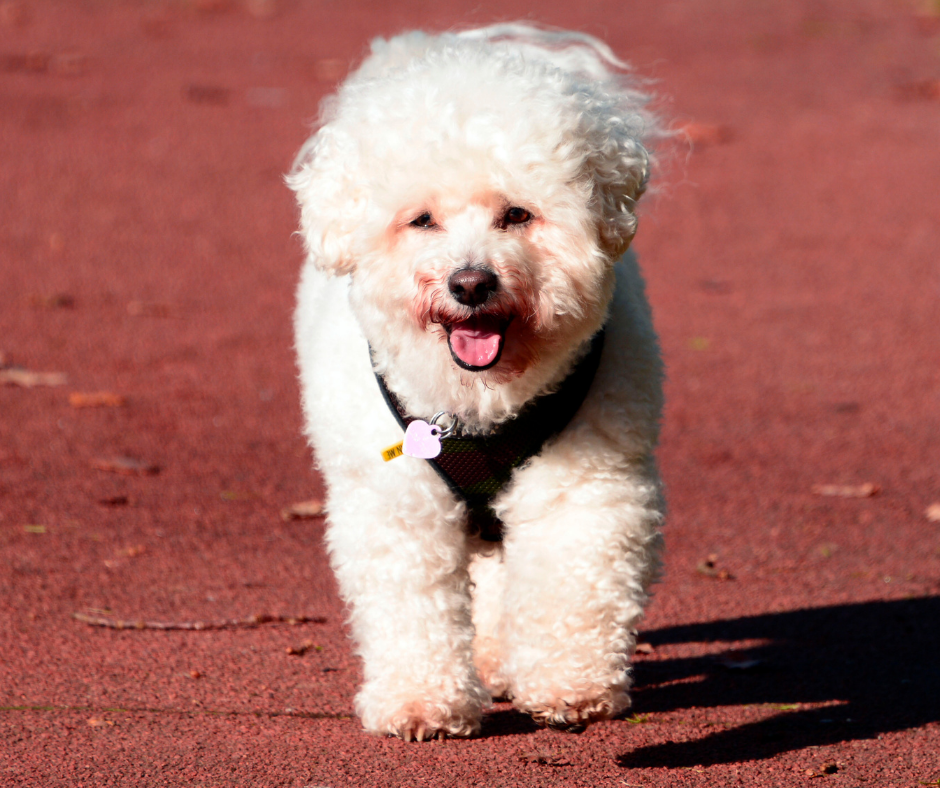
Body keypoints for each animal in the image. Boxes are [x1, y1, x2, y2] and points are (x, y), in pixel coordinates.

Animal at [290, 24, 664, 740]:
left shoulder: (585, 483)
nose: (470, 283)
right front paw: (420, 701)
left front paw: (570, 685)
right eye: (421, 220)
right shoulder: (395, 502)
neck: (478, 401)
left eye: (517, 215)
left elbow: (574, 581)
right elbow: (411, 605)